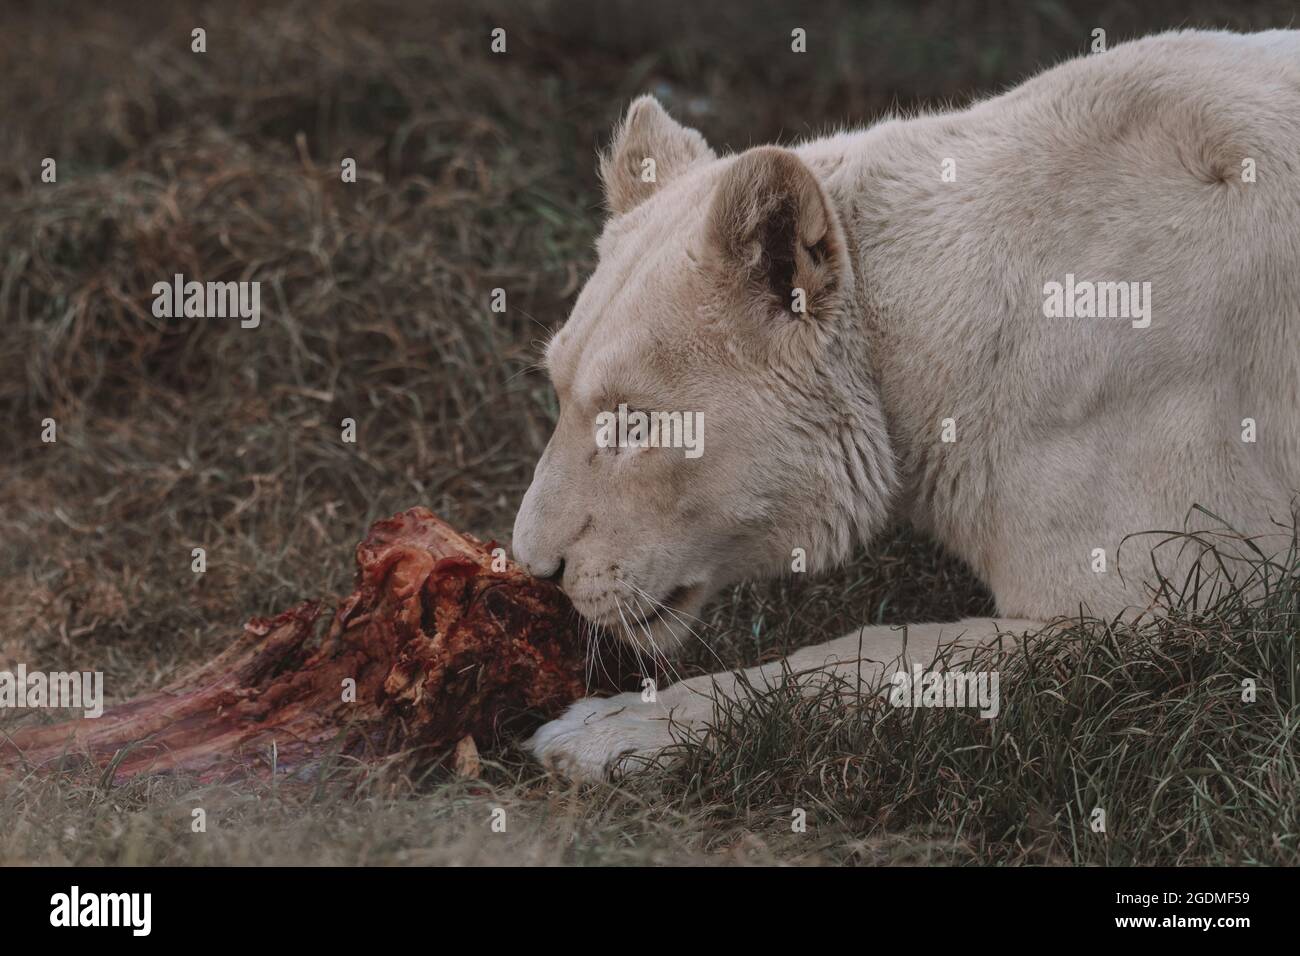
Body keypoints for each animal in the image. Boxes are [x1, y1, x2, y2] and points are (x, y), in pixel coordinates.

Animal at [512, 29, 1300, 781]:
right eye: (557, 390)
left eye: (633, 423)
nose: (536, 569)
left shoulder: (1184, 592)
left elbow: (888, 651)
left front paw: (603, 732)